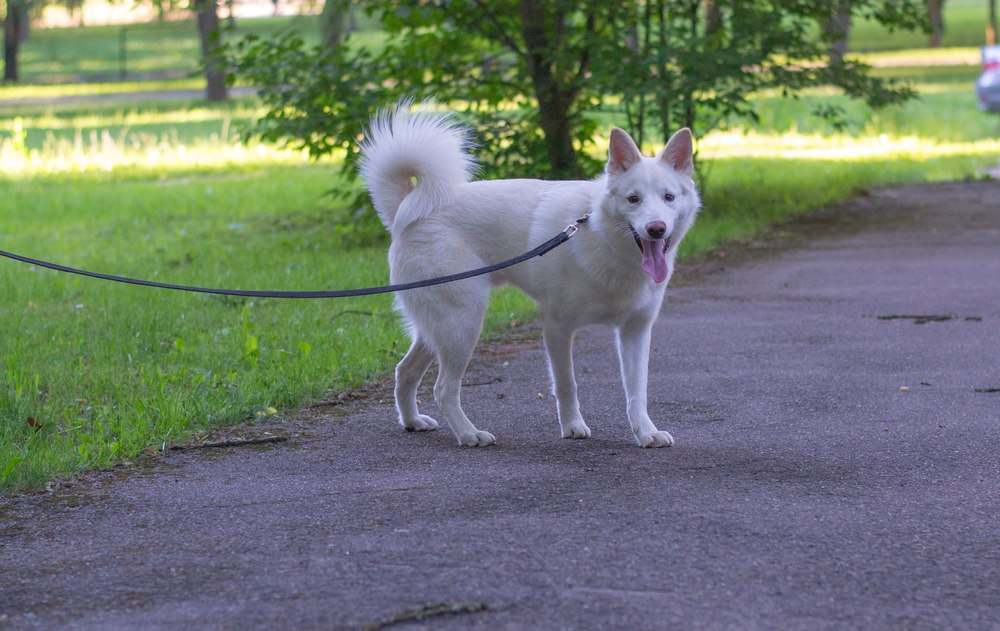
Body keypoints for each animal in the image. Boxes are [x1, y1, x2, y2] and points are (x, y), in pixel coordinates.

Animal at [364, 103, 700, 446]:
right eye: (633, 199)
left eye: (669, 197)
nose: (656, 229)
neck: (602, 237)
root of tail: (408, 210)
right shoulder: (557, 327)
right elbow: (567, 384)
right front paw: (573, 427)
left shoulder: (636, 331)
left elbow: (636, 392)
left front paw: (646, 432)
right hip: (462, 325)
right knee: (443, 388)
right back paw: (470, 434)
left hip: (439, 329)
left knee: (405, 372)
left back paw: (413, 421)